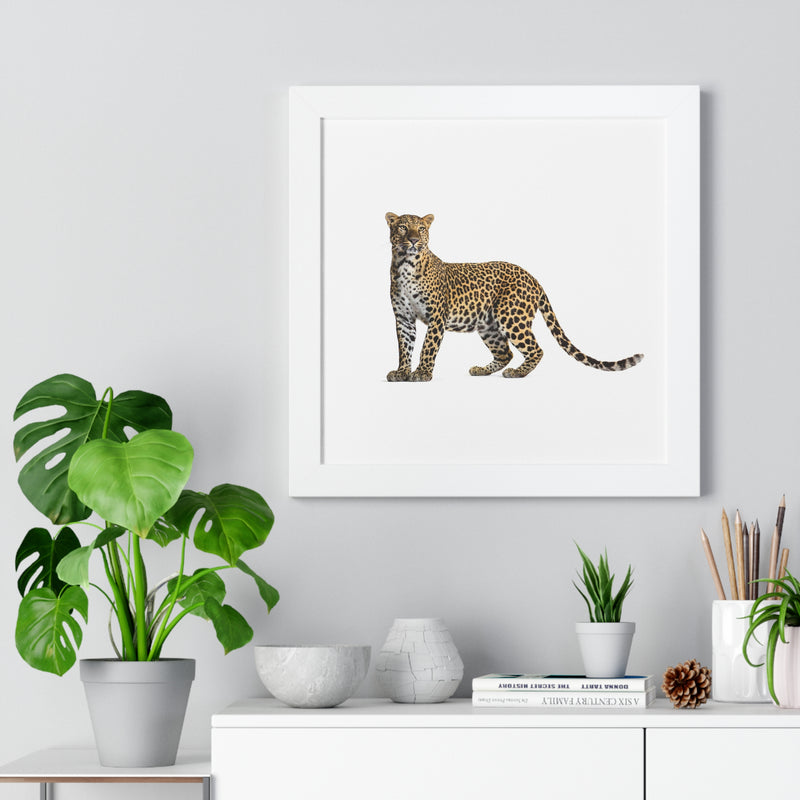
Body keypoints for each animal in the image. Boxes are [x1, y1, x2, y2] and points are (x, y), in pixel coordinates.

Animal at [385, 212, 644, 382]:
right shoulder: (403, 317)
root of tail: (533, 277)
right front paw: (402, 372)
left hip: (511, 316)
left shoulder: (437, 316)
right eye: (402, 227)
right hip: (488, 325)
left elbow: (428, 346)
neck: (405, 265)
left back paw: (518, 373)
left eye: (421, 229)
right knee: (505, 352)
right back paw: (482, 370)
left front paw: (422, 373)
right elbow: (405, 346)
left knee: (535, 349)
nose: (413, 240)